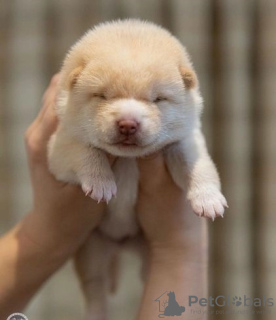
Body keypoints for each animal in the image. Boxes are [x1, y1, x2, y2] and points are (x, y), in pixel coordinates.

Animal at [48, 19, 229, 318]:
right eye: (102, 96)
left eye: (158, 99)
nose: (127, 124)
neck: (129, 159)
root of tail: (123, 244)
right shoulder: (61, 144)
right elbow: (87, 152)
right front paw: (101, 183)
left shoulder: (186, 140)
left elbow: (198, 167)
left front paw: (208, 199)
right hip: (92, 250)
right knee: (95, 291)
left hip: (150, 254)